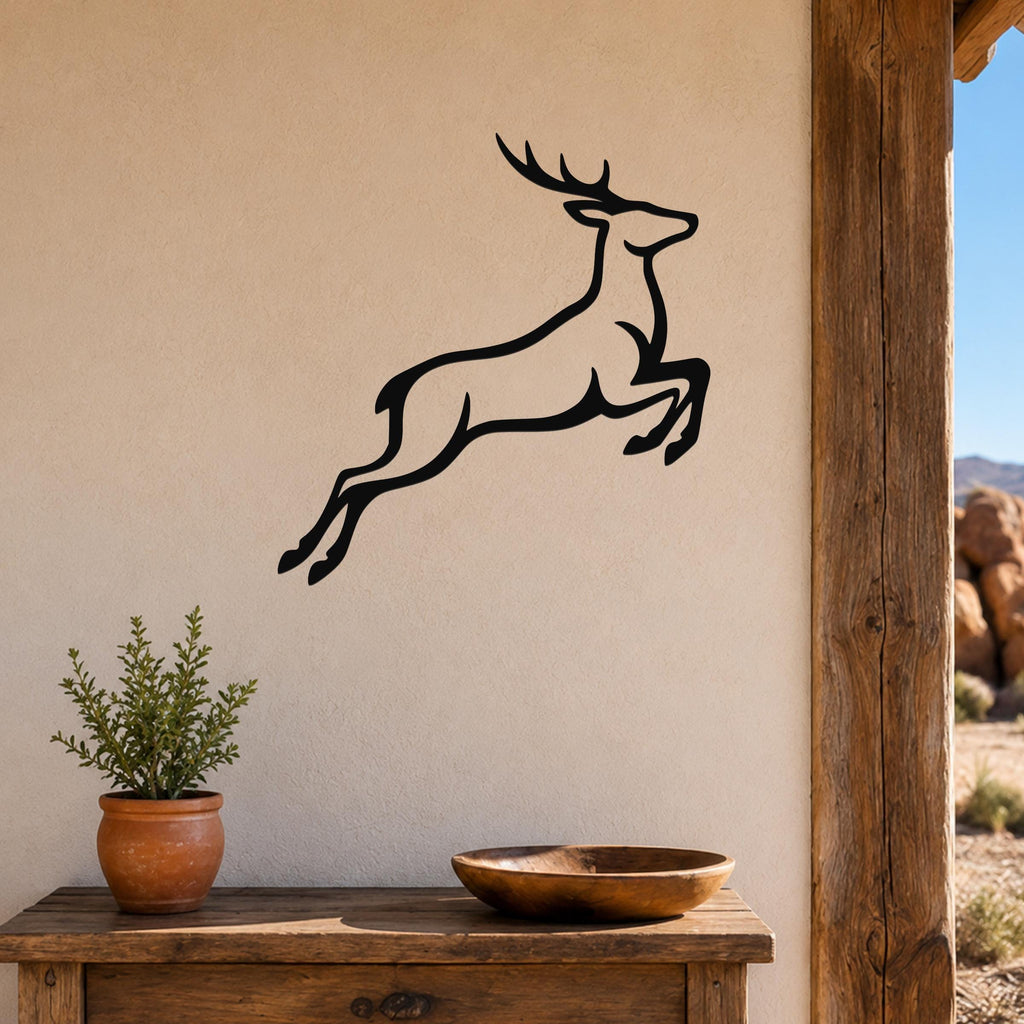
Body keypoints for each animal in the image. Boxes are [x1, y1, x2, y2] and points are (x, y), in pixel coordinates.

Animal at [279, 135, 710, 584]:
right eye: (642, 210)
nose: (691, 217)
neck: (630, 321)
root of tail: (398, 390)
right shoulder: (612, 391)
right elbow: (687, 378)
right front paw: (660, 442)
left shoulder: (633, 379)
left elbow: (696, 368)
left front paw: (657, 441)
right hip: (431, 437)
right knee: (361, 482)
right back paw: (316, 561)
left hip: (411, 438)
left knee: (353, 475)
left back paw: (300, 555)